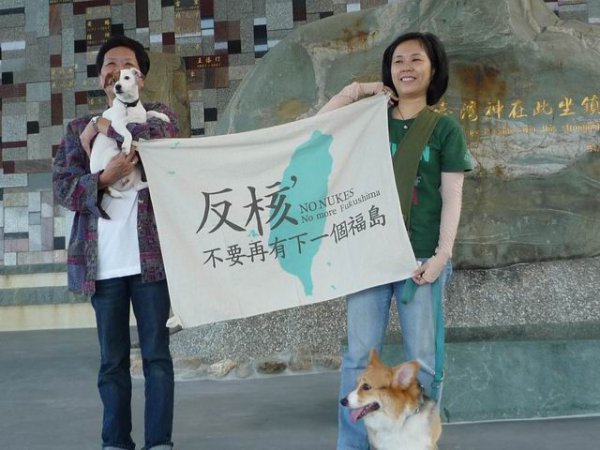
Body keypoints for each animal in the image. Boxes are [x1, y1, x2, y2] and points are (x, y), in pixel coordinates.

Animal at [89, 67, 170, 198]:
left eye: (126, 77)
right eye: (114, 80)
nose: (117, 86)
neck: (129, 105)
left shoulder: (142, 118)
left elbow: (151, 112)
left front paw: (164, 116)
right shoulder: (117, 123)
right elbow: (128, 133)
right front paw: (126, 146)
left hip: (136, 172)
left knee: (138, 186)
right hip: (111, 157)